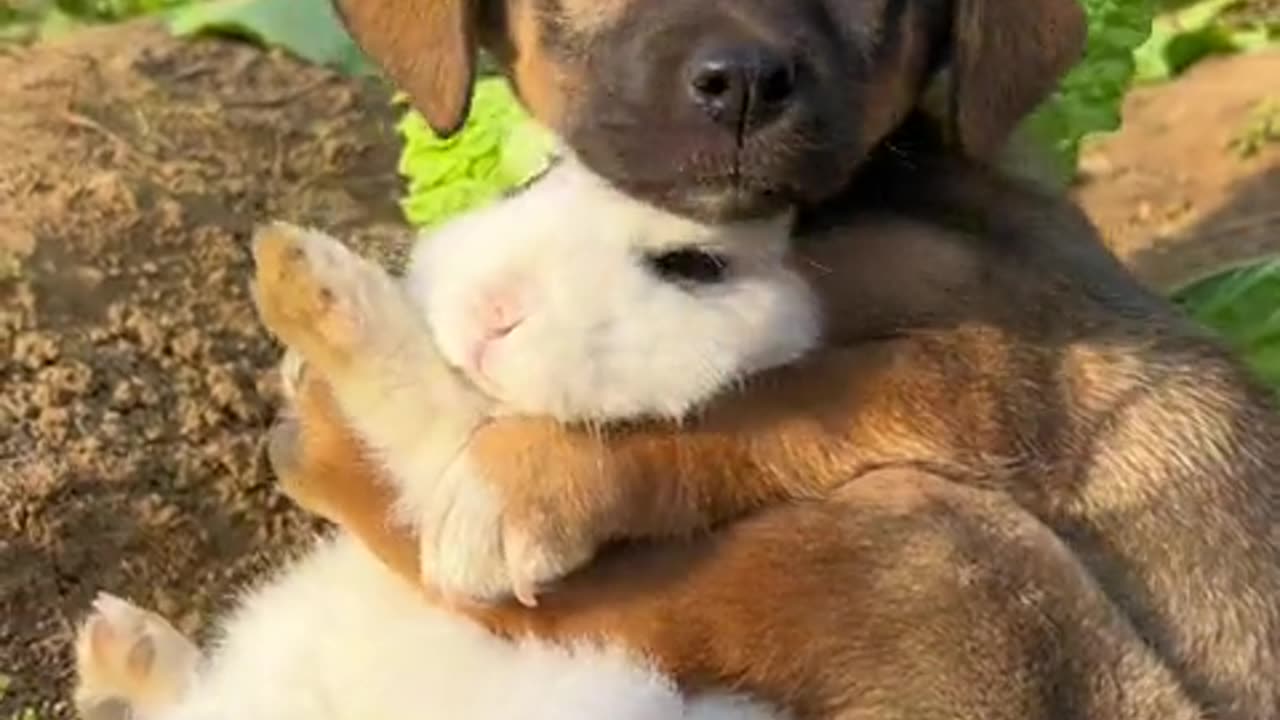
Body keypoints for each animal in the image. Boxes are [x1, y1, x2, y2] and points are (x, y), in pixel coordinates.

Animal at [74, 155, 814, 717]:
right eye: (535, 176)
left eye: (695, 265)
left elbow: (424, 410)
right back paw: (121, 645)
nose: (493, 308)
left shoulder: (454, 475)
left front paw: (303, 275)